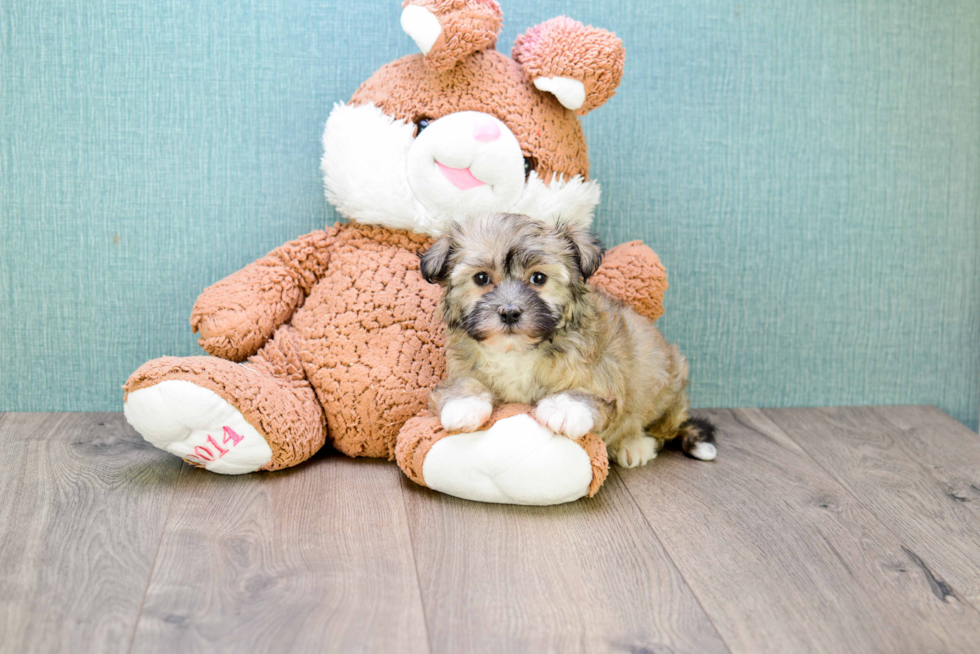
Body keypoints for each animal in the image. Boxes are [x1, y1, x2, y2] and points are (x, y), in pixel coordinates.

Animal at [418, 214, 716, 466]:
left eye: (538, 278)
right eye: (481, 278)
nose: (510, 312)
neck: (517, 351)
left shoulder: (603, 375)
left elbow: (588, 394)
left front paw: (565, 407)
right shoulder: (462, 364)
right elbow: (463, 382)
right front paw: (463, 403)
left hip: (666, 384)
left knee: (660, 428)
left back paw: (635, 445)